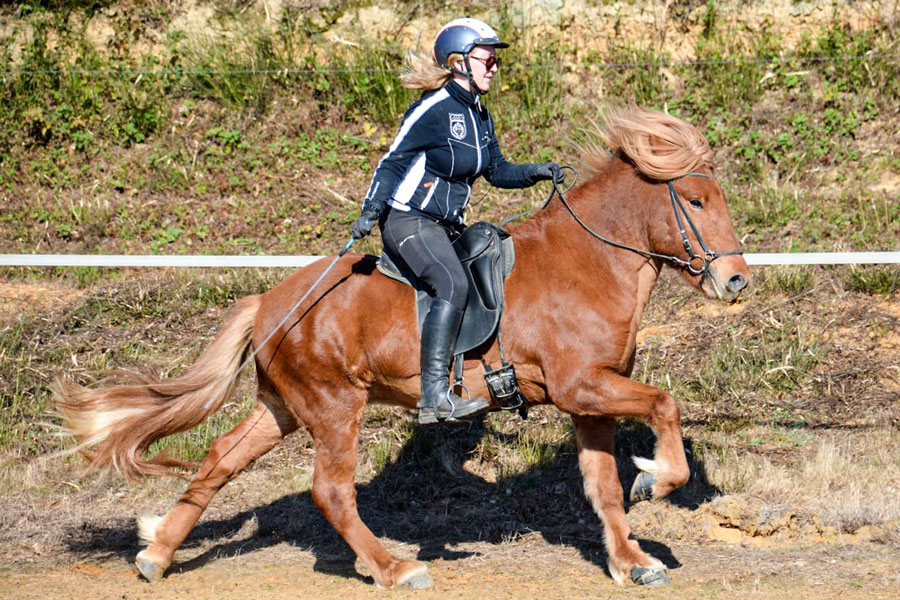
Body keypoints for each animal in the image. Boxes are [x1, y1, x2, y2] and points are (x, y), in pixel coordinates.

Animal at [52, 108, 748, 592]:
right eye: (694, 201)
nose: (736, 282)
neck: (590, 262)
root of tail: (270, 301)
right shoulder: (583, 385)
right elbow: (664, 407)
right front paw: (657, 480)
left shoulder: (588, 401)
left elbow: (603, 487)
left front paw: (632, 561)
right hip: (335, 406)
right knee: (331, 491)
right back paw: (394, 568)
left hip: (284, 407)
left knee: (221, 459)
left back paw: (156, 554)